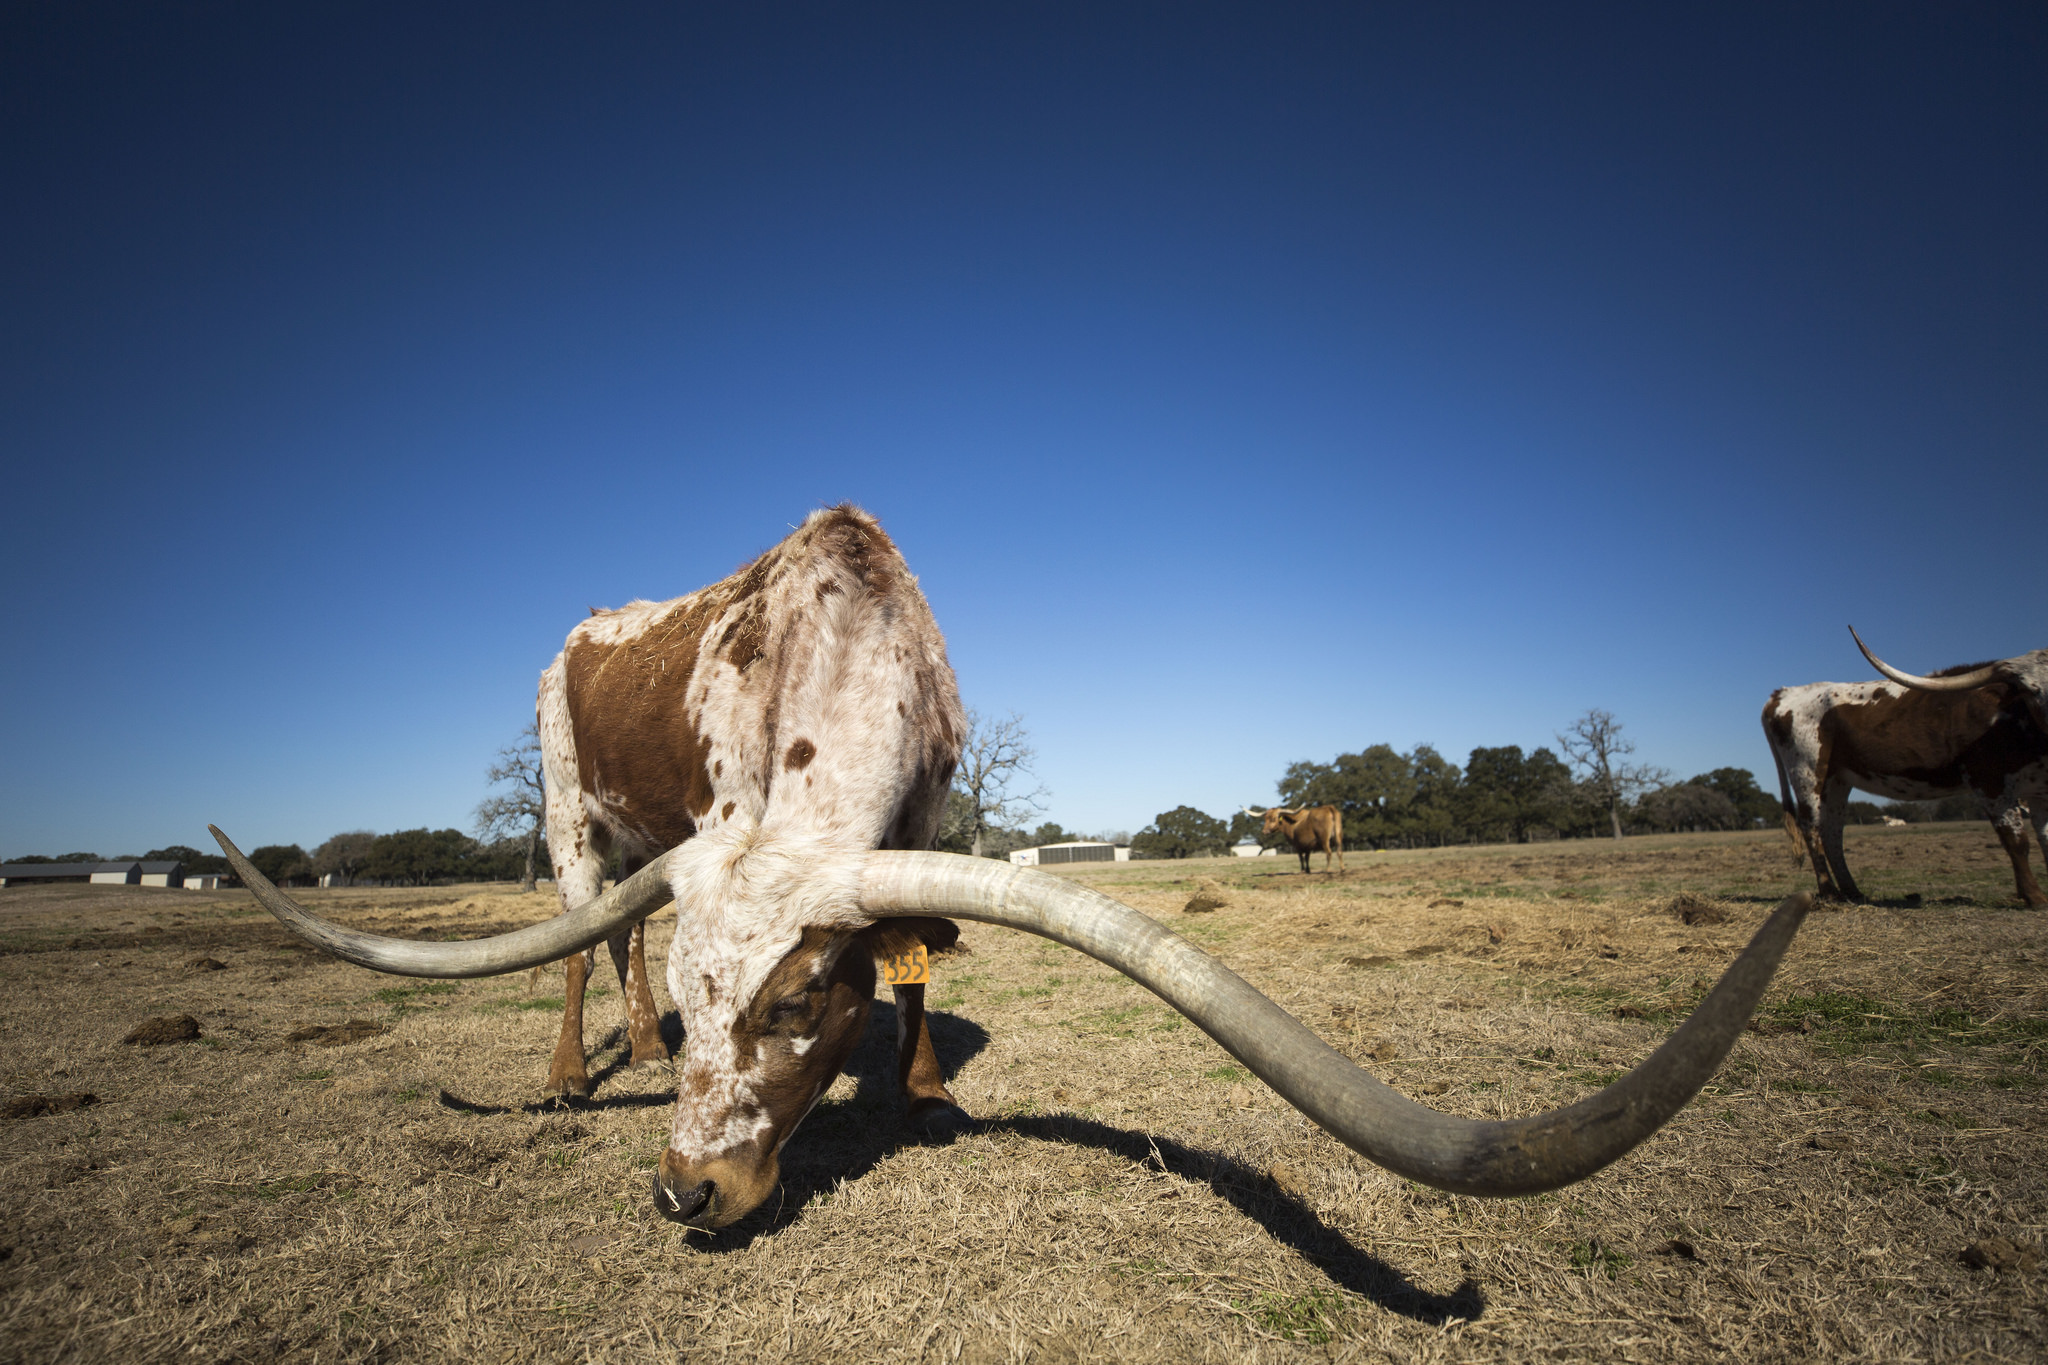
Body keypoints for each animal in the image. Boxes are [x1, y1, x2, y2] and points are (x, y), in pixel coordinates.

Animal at [211, 507, 1826, 1236]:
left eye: (797, 1006)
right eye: (748, 999)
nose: (686, 1191)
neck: (842, 637)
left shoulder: (932, 815)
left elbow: (920, 969)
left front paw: (922, 1090)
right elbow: (647, 943)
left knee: (604, 946)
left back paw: (632, 1046)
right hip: (563, 809)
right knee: (576, 934)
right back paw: (575, 1065)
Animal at [1761, 630, 2048, 908]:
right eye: (2030, 691)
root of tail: (1784, 693)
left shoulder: (2037, 791)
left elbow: (2044, 836)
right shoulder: (1990, 782)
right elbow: (2016, 841)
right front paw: (2034, 896)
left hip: (1837, 779)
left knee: (1832, 830)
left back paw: (1852, 891)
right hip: (1807, 771)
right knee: (1811, 827)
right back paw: (1829, 892)